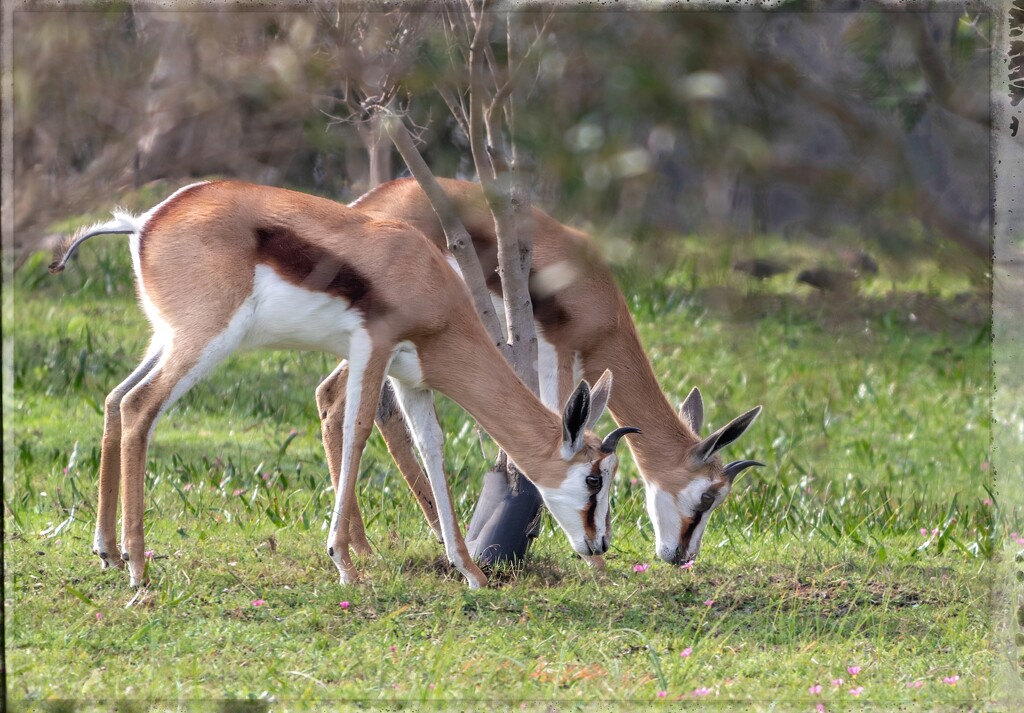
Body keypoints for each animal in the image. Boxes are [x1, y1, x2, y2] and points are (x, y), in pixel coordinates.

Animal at [51, 181, 638, 585]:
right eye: (594, 479)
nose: (600, 545)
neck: (430, 283)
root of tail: (146, 222)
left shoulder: (414, 378)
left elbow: (432, 448)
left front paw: (469, 572)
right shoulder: (372, 348)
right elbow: (356, 432)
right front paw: (345, 564)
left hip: (165, 340)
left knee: (114, 399)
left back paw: (107, 552)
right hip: (204, 343)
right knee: (140, 408)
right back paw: (138, 568)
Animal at [348, 179, 765, 569]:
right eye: (708, 496)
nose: (683, 556)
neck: (599, 307)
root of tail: (373, 200)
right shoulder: (560, 361)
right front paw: (594, 561)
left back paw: (370, 547)